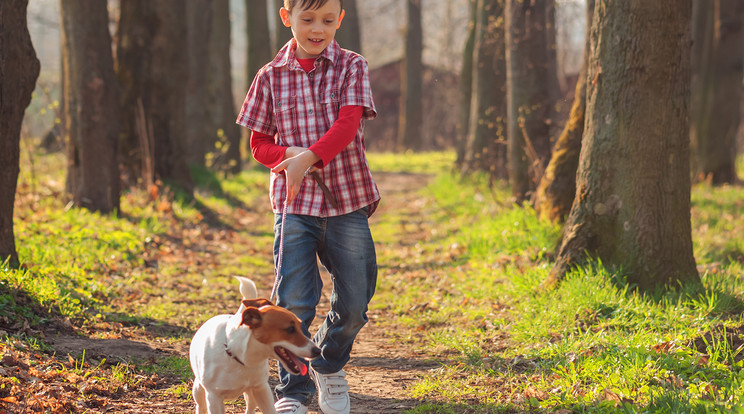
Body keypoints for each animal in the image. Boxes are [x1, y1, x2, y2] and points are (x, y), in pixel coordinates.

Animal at [189, 276, 320, 414]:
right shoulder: (214, 397)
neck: (241, 359)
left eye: (300, 326)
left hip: (251, 393)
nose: (318, 351)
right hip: (198, 389)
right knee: (200, 405)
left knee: (250, 407)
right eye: (290, 329)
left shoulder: (261, 389)